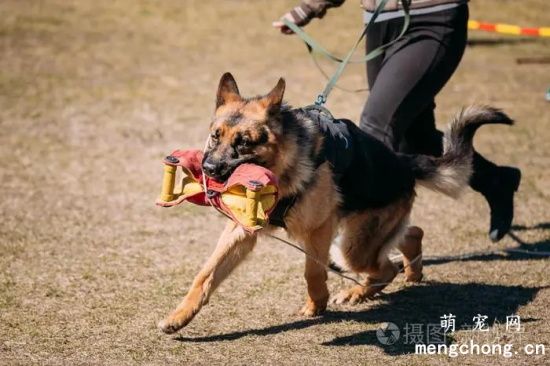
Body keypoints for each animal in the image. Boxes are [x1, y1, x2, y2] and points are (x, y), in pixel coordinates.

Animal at [157, 73, 516, 334]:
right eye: (215, 136)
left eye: (243, 143)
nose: (208, 169)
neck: (283, 166)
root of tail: (403, 161)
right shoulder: (240, 231)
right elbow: (205, 276)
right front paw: (179, 316)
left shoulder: (318, 229)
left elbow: (312, 271)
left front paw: (316, 305)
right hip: (358, 236)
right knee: (410, 234)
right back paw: (409, 272)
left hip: (348, 248)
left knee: (385, 265)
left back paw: (359, 291)